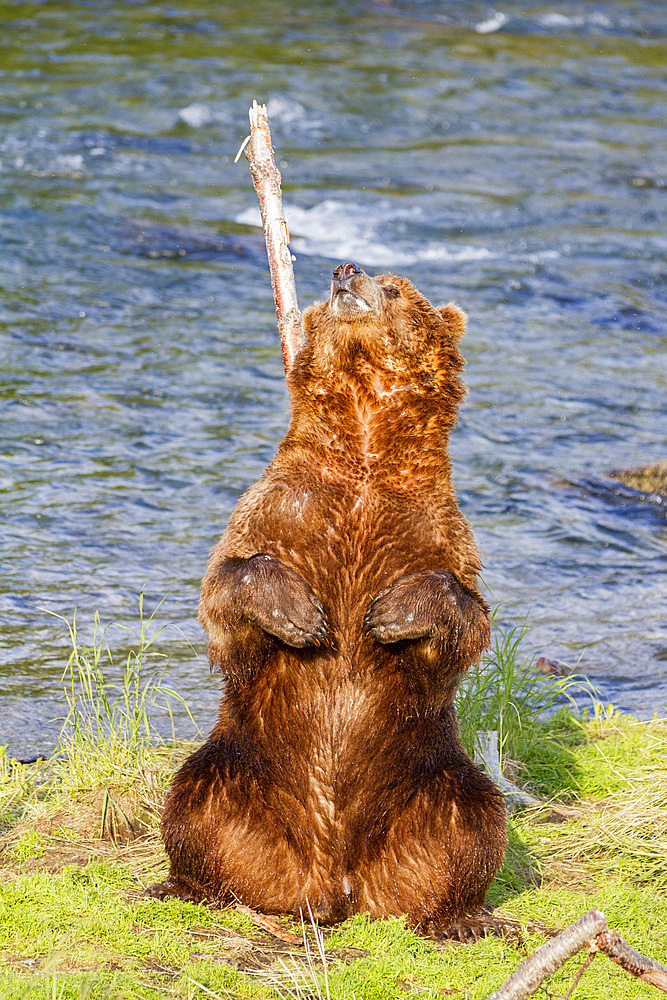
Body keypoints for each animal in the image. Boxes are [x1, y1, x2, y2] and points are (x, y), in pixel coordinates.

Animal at [151, 264, 506, 936]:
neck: (364, 450)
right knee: (194, 800)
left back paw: (458, 916)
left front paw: (391, 613)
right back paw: (188, 885)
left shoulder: (438, 530)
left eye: (396, 288)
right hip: (245, 767)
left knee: (473, 818)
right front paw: (300, 615)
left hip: (428, 775)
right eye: (328, 288)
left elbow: (468, 613)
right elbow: (225, 582)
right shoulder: (280, 507)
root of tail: (332, 878)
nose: (347, 271)